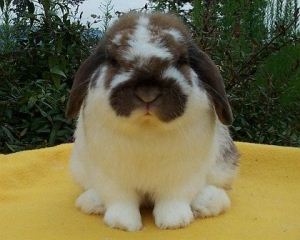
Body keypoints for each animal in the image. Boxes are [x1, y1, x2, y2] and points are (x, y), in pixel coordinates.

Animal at [65, 12, 239, 231]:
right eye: (113, 61)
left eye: (182, 60)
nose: (147, 93)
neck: (147, 129)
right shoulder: (112, 176)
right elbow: (120, 200)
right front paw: (123, 224)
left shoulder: (181, 176)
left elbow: (173, 199)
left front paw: (174, 222)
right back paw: (92, 202)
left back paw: (207, 202)